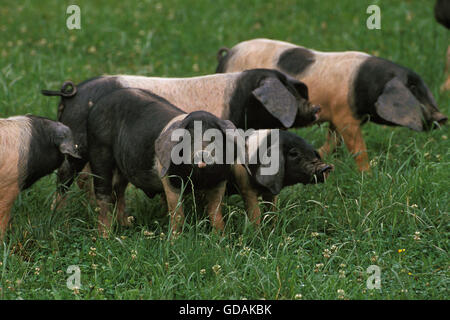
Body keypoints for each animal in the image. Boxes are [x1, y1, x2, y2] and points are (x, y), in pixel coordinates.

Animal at [86, 87, 244, 235]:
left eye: (214, 138)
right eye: (188, 139)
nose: (202, 153)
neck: (199, 179)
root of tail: (97, 105)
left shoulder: (219, 180)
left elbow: (215, 212)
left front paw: (222, 236)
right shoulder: (169, 178)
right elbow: (177, 213)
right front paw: (175, 240)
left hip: (123, 166)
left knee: (118, 190)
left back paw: (126, 225)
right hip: (99, 151)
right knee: (103, 194)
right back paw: (106, 235)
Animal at [214, 38, 446, 172]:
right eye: (413, 88)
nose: (442, 117)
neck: (364, 85)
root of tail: (228, 54)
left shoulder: (337, 115)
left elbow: (334, 141)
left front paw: (321, 155)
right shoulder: (345, 115)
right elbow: (357, 148)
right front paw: (368, 175)